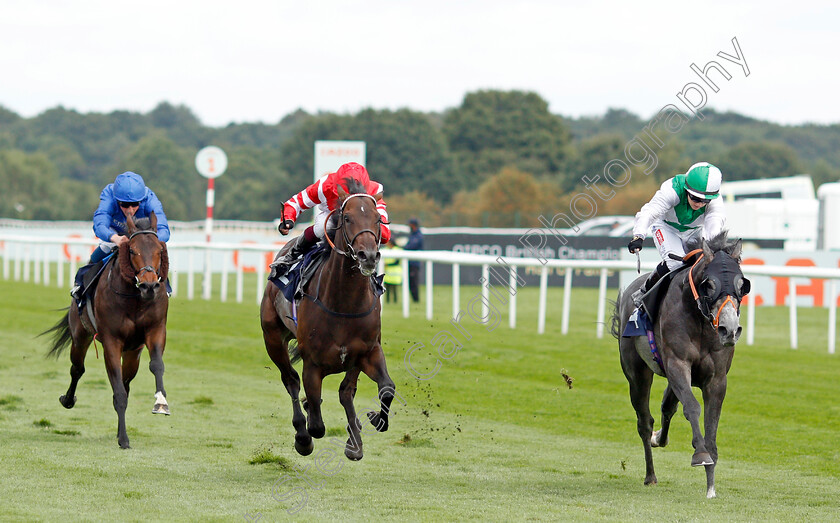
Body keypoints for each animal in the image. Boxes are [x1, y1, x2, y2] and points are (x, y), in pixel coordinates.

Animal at [43, 214, 171, 450]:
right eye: (133, 250)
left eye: (160, 250)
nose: (149, 287)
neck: (134, 299)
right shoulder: (112, 341)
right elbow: (118, 391)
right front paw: (124, 439)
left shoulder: (155, 330)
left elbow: (156, 365)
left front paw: (161, 403)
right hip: (80, 336)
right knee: (77, 369)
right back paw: (68, 399)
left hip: (132, 353)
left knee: (126, 382)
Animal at [260, 181, 396, 462]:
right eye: (347, 218)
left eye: (378, 219)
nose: (368, 256)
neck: (344, 304)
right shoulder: (312, 363)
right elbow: (317, 424)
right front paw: (306, 432)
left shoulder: (367, 351)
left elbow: (385, 388)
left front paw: (373, 421)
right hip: (272, 338)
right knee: (290, 380)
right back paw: (302, 434)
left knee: (346, 391)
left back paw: (354, 440)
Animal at [612, 232, 752, 500]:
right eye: (710, 284)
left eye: (743, 285)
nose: (729, 329)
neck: (701, 322)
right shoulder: (677, 364)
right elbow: (693, 408)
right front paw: (700, 455)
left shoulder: (716, 378)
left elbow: (711, 421)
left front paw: (711, 485)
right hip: (637, 373)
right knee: (644, 421)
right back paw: (650, 474)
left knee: (667, 406)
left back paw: (659, 438)